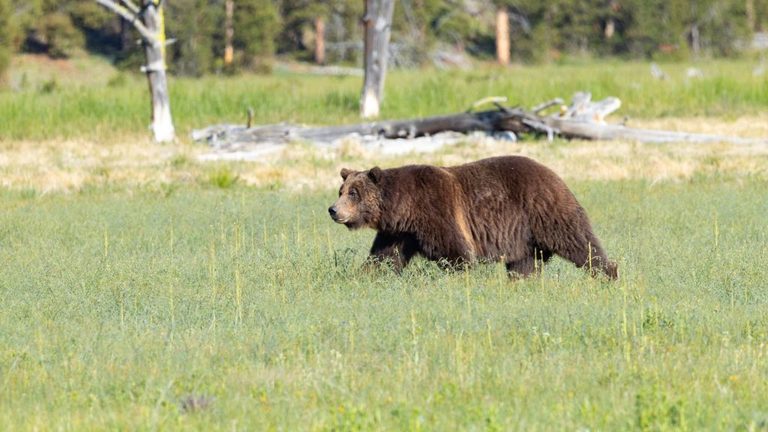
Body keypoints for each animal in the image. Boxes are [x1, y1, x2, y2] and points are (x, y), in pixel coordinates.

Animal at [328, 156, 618, 279]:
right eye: (341, 191)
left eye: (354, 193)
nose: (333, 209)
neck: (405, 209)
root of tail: (554, 174)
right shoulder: (399, 232)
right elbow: (384, 258)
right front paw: (364, 278)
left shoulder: (437, 210)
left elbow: (457, 253)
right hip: (524, 237)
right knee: (525, 264)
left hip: (544, 210)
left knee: (578, 241)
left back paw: (608, 273)